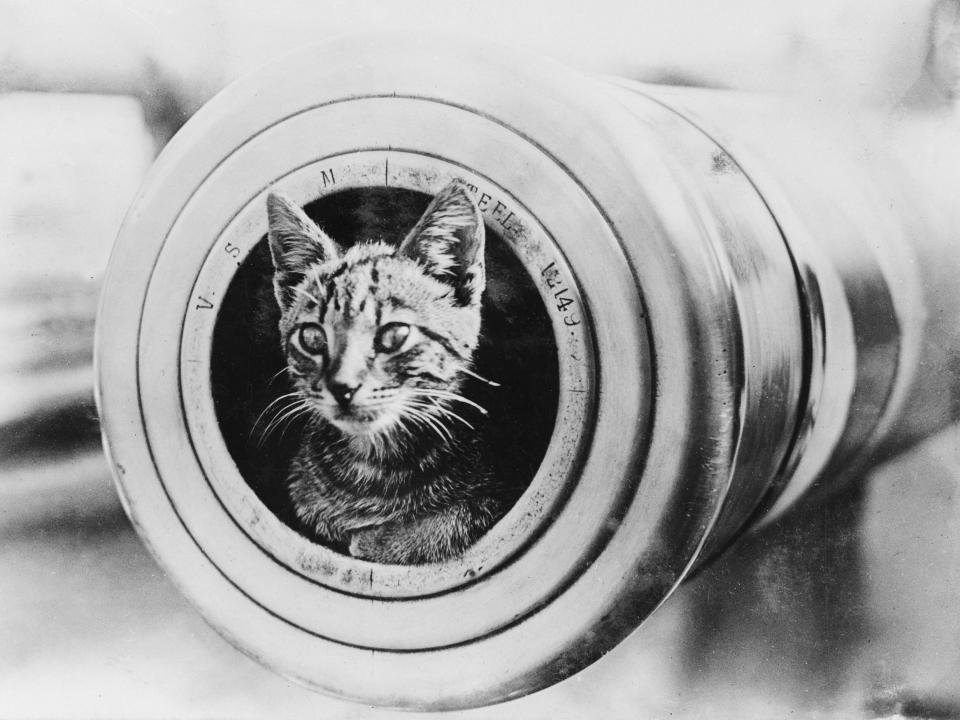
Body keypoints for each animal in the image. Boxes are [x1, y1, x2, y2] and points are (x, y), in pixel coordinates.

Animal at [262, 180, 502, 564]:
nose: (342, 387)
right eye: (312, 337)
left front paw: (379, 541)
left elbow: (454, 517)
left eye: (395, 335)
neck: (374, 466)